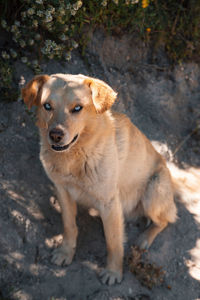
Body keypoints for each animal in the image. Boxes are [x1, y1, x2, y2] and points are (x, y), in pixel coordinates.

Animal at [21, 74, 177, 284]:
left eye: (77, 108)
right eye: (47, 106)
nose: (55, 135)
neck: (74, 157)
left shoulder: (109, 202)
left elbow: (113, 242)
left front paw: (113, 272)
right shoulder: (62, 190)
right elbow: (69, 226)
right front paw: (65, 252)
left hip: (153, 193)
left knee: (165, 221)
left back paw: (144, 238)